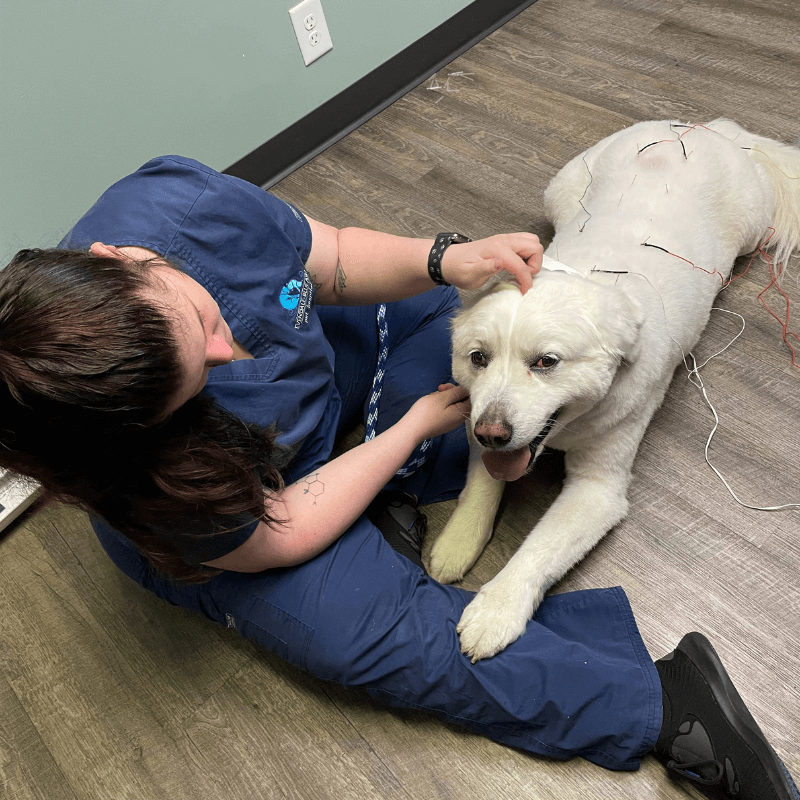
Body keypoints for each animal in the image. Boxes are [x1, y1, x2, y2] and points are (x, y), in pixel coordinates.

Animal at [428, 115, 800, 660]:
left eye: (546, 362)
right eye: (478, 358)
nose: (493, 432)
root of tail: (700, 128)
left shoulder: (598, 490)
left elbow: (538, 549)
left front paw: (496, 609)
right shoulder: (480, 423)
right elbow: (481, 485)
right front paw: (457, 542)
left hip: (754, 227)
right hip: (560, 188)